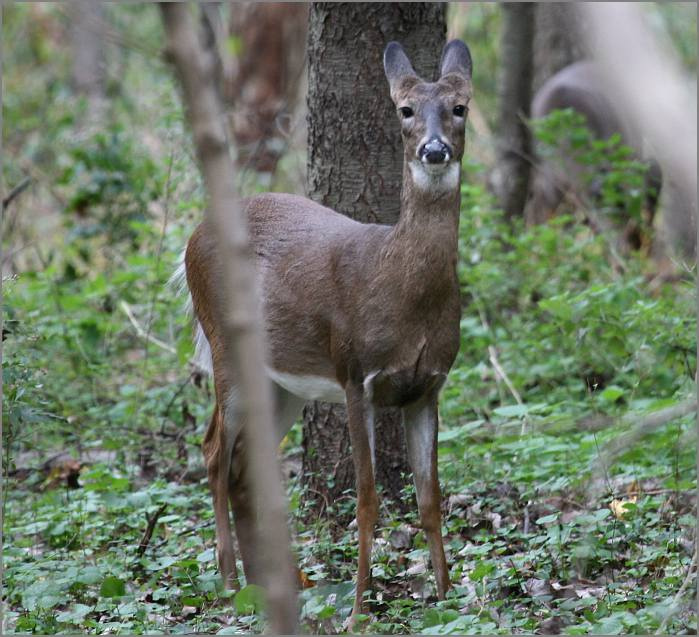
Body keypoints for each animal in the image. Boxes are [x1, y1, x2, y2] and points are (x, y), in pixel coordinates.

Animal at [177, 39, 472, 624]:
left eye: (460, 108)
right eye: (405, 110)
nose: (434, 150)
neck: (404, 294)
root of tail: (192, 237)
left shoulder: (428, 385)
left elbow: (430, 498)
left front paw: (446, 597)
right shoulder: (356, 372)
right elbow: (367, 498)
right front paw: (358, 610)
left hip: (283, 383)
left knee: (244, 464)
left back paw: (278, 584)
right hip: (226, 346)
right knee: (214, 447)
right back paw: (229, 581)